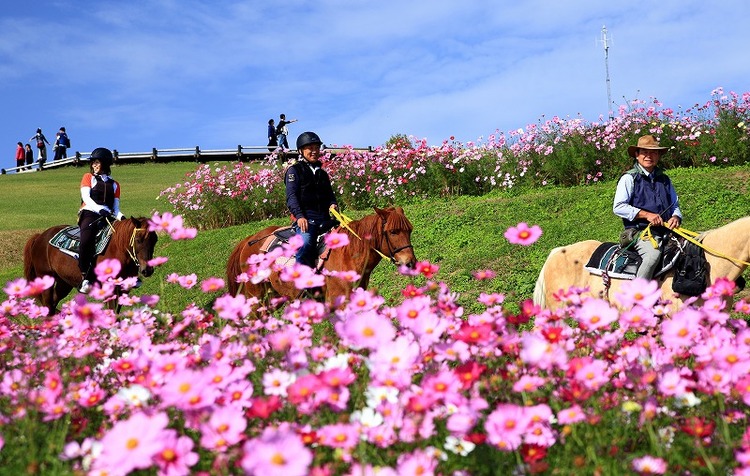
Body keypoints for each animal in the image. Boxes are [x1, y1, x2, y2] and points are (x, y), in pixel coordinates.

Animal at [23, 217, 159, 314]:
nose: (147, 270)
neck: (118, 250)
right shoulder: (109, 288)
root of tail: (40, 236)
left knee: (53, 304)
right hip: (46, 279)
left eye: (155, 240)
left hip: (63, 283)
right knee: (48, 306)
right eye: (138, 239)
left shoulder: (124, 289)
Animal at [226, 205, 420, 304]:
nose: (410, 262)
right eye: (393, 232)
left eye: (410, 230)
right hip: (257, 297)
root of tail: (249, 240)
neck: (348, 255)